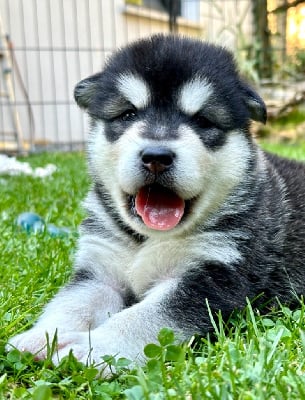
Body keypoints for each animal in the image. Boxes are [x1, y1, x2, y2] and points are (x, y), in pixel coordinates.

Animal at [7, 34, 305, 376]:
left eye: (202, 120)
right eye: (127, 114)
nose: (156, 157)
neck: (146, 239)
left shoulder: (214, 273)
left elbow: (144, 317)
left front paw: (91, 350)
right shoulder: (100, 269)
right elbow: (73, 301)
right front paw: (41, 337)